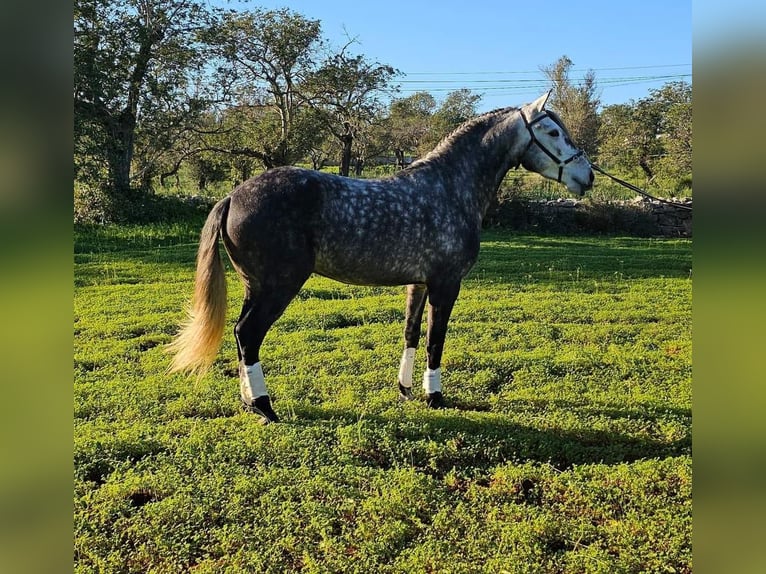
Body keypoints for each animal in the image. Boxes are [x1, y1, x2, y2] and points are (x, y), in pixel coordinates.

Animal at [171, 92, 596, 426]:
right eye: (553, 132)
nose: (587, 176)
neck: (448, 186)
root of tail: (233, 196)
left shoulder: (418, 284)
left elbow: (411, 333)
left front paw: (405, 390)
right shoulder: (446, 285)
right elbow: (436, 341)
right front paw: (435, 397)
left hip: (255, 286)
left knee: (241, 337)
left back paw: (249, 403)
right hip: (278, 287)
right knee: (248, 334)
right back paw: (265, 407)